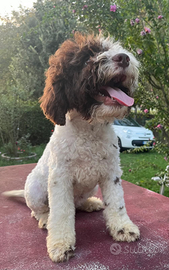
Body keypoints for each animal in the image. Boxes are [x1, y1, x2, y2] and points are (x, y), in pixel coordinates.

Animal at [2, 32, 140, 262]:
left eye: (113, 49)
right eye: (85, 59)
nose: (123, 58)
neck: (89, 130)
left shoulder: (111, 173)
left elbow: (117, 202)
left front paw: (123, 228)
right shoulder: (60, 178)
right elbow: (62, 213)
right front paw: (60, 244)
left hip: (91, 186)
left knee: (77, 204)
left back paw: (90, 203)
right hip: (36, 189)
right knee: (39, 211)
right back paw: (45, 218)